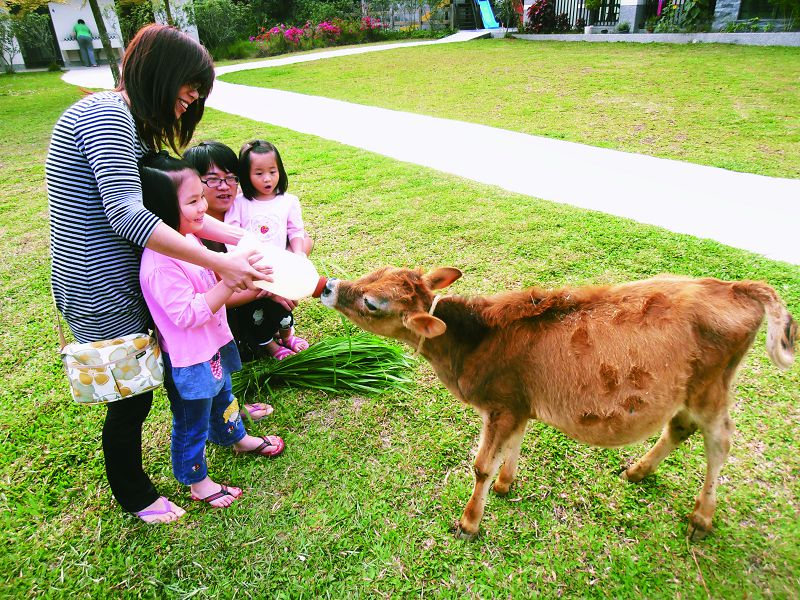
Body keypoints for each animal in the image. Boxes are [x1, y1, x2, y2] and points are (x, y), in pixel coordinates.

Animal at [322, 268, 796, 540]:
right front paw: (506, 486)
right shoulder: (517, 404)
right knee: (680, 427)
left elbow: (481, 465)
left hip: (712, 389)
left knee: (720, 442)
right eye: (376, 270)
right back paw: (638, 471)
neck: (473, 343)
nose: (329, 287)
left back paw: (701, 517)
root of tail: (738, 287)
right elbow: (511, 448)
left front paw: (470, 522)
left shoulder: (502, 404)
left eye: (372, 303)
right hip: (687, 389)